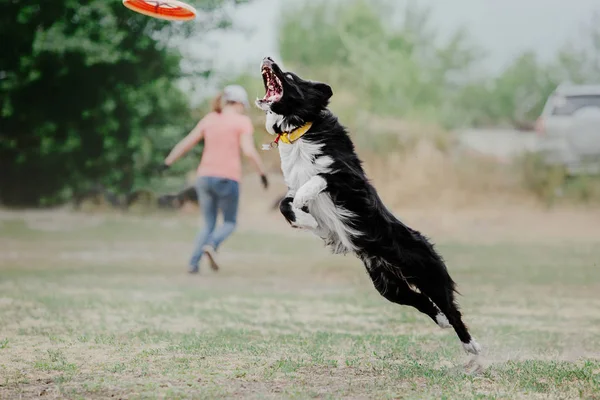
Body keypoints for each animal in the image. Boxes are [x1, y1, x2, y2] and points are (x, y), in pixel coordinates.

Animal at [255, 56, 480, 354]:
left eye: (290, 76)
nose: (268, 58)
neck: (298, 130)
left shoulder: (349, 179)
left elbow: (318, 177)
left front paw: (305, 203)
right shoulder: (291, 187)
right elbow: (284, 204)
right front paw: (308, 220)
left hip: (427, 272)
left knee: (451, 308)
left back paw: (472, 346)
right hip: (388, 287)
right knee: (421, 302)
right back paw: (441, 321)